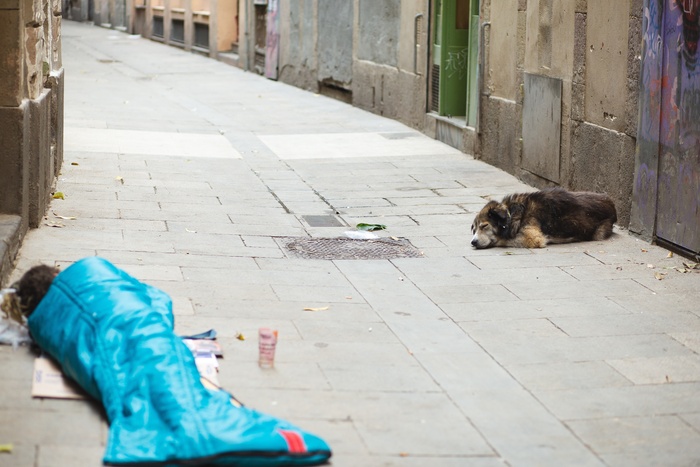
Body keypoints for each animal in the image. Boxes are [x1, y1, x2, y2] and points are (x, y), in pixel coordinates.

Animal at [474, 188, 616, 250]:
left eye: (484, 226)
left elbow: (503, 240)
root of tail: (611, 203)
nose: (473, 242)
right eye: (474, 230)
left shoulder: (531, 237)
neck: (513, 214)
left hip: (599, 231)